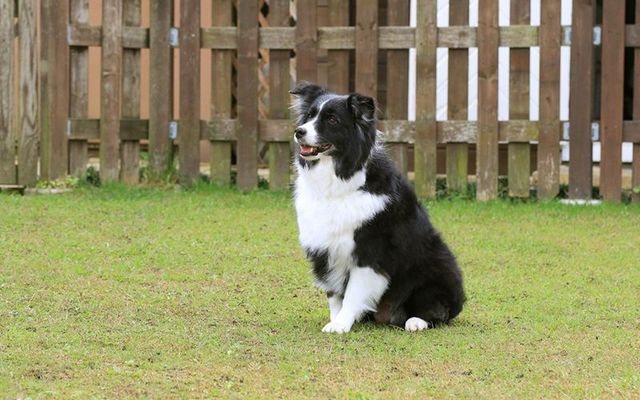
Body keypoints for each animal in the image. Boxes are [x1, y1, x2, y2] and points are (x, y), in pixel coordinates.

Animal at [292, 82, 464, 334]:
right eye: (310, 116)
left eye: (332, 119)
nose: (299, 131)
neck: (340, 180)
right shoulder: (324, 249)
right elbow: (334, 294)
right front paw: (336, 320)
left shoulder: (370, 253)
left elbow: (353, 294)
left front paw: (341, 324)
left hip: (437, 269)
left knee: (439, 310)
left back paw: (416, 321)